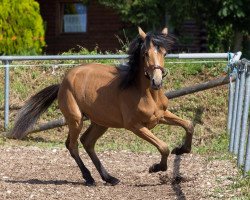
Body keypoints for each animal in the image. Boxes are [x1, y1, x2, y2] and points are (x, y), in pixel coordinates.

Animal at [10, 27, 194, 186]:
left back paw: (109, 178)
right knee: (73, 145)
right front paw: (156, 167)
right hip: (76, 119)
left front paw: (182, 149)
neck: (146, 93)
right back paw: (89, 177)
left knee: (87, 142)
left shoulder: (161, 115)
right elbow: (163, 147)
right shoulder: (135, 126)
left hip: (101, 122)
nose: (156, 81)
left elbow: (188, 125)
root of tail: (62, 83)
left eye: (164, 53)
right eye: (145, 53)